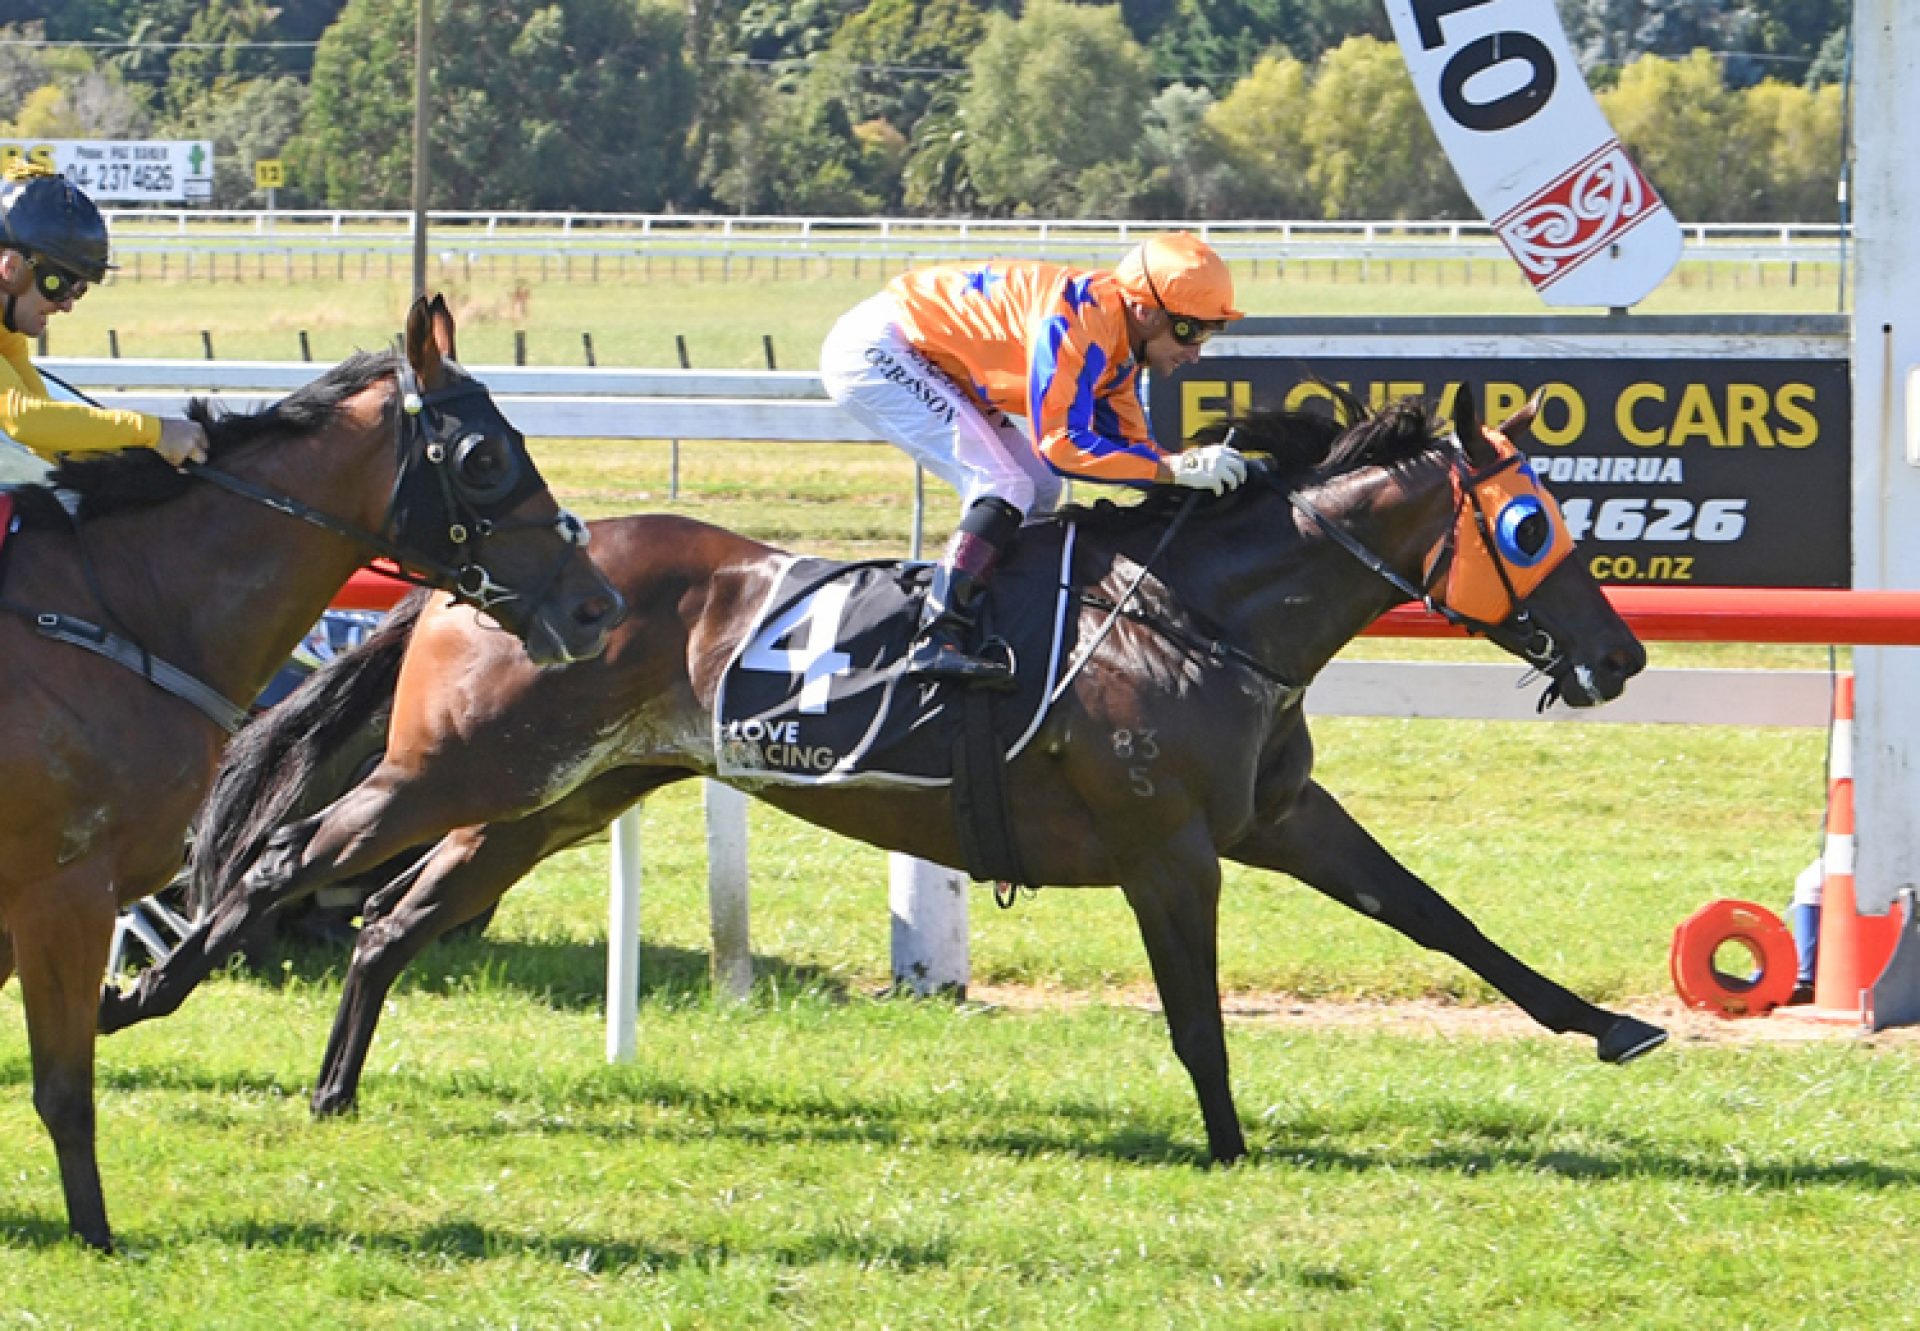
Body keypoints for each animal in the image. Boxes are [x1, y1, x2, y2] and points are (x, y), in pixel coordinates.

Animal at [1, 293, 622, 1244]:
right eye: (483, 457)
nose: (597, 605)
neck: (109, 611)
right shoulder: (60, 887)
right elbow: (66, 1090)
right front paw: (95, 1236)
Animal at [105, 384, 1666, 1160]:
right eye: (1531, 524)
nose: (1620, 653)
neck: (1200, 616)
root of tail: (467, 583)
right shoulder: (1170, 847)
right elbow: (1198, 1016)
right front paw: (1229, 1143)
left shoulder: (1277, 815)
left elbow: (1441, 916)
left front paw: (1613, 1024)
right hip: (458, 771)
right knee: (279, 861)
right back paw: (146, 989)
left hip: (549, 800)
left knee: (386, 920)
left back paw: (331, 1091)